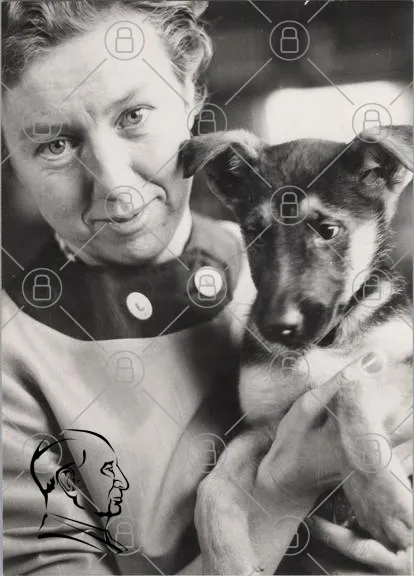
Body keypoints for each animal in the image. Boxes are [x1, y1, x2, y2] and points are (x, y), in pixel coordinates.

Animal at [180, 125, 413, 575]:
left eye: (328, 230)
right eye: (255, 232)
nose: (275, 327)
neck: (325, 340)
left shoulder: (401, 364)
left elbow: (351, 387)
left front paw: (382, 502)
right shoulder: (263, 426)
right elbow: (211, 488)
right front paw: (227, 562)